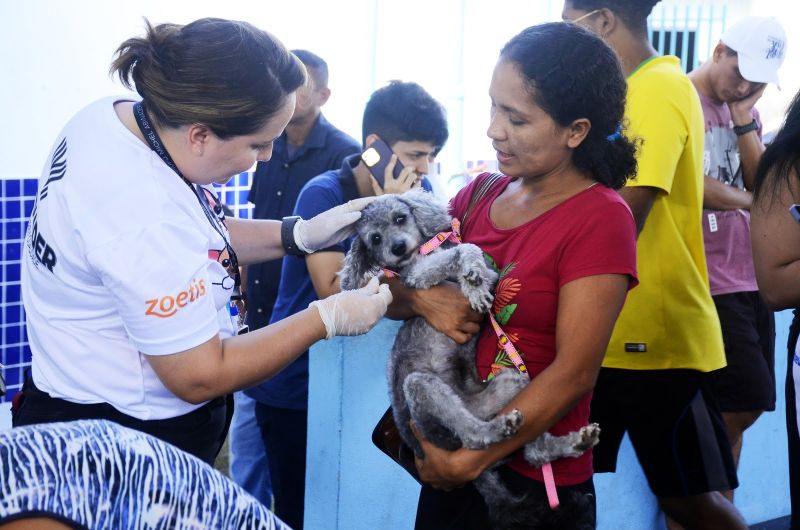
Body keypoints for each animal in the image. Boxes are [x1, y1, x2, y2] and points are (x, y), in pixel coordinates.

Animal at [340, 190, 600, 528]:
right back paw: (498, 431)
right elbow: (462, 251)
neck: (423, 251)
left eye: (400, 217)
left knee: (532, 453)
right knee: (474, 436)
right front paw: (471, 281)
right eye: (374, 238)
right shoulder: (418, 275)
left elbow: (472, 256)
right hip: (423, 391)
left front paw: (473, 281)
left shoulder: (490, 274)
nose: (397, 247)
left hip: (512, 382)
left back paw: (570, 443)